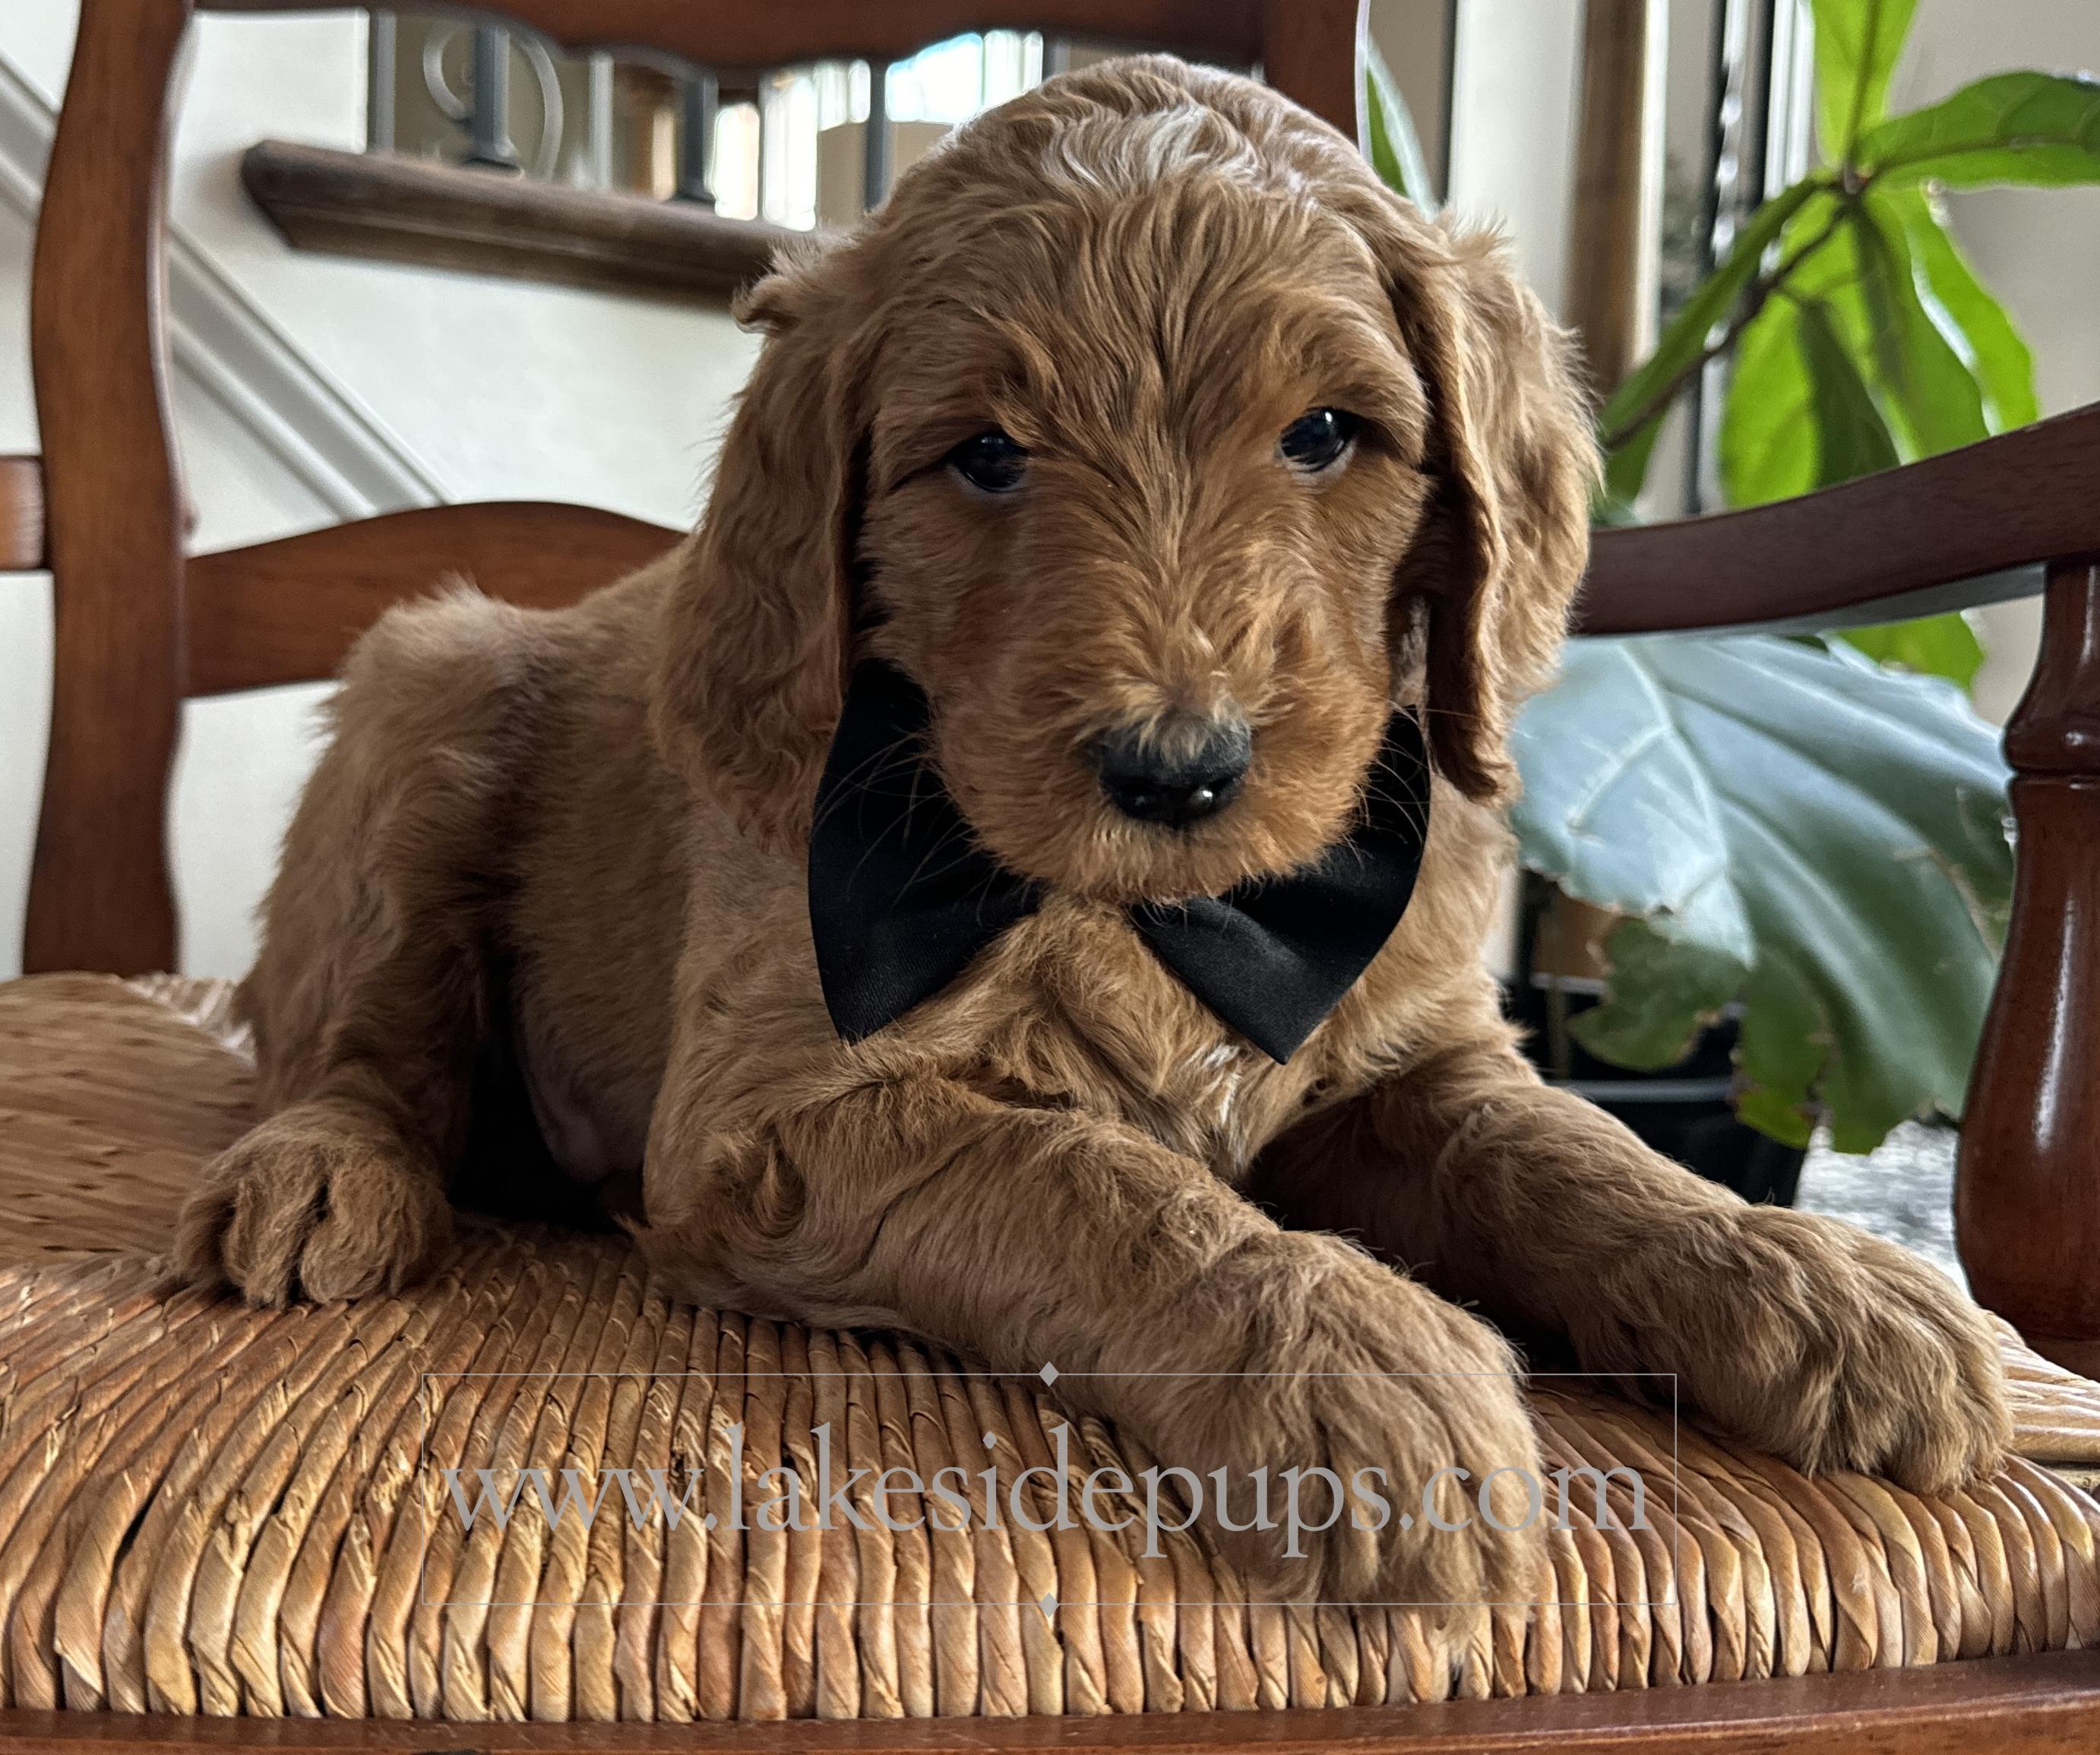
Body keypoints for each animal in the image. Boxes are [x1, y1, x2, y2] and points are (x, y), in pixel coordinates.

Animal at [176, 56, 2009, 1612]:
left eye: (1324, 434)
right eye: (985, 457)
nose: (1176, 773)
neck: (1162, 912)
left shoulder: (1411, 1057)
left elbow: (1565, 1147)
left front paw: (1798, 1276)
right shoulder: (774, 1121)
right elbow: (1082, 1174)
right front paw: (1349, 1358)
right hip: (425, 698)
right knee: (347, 1040)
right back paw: (321, 1174)